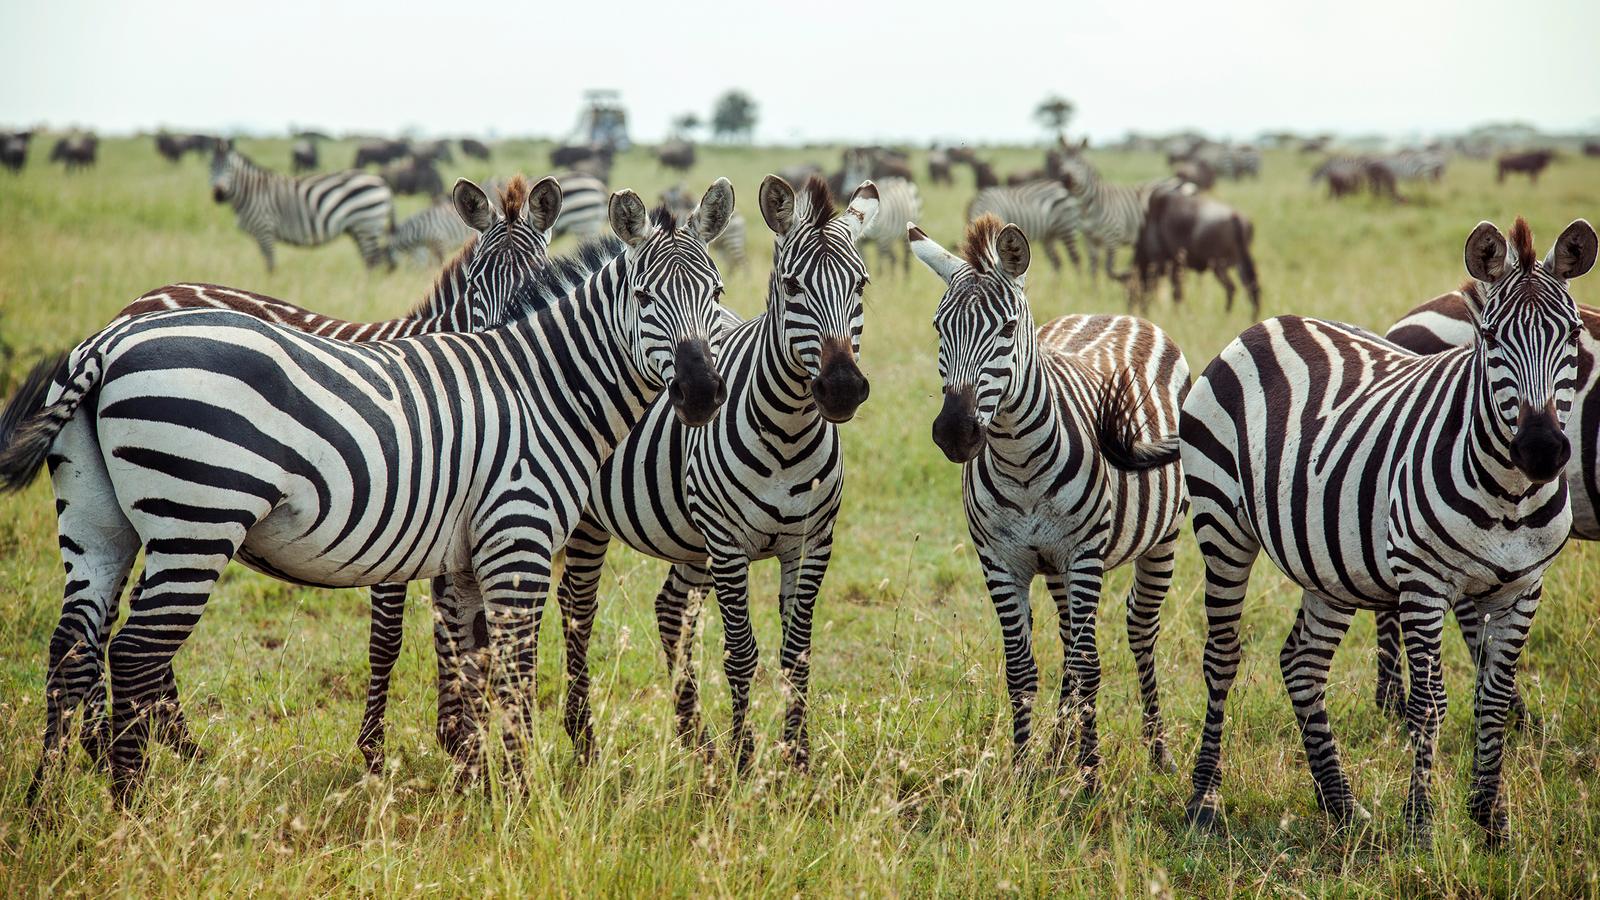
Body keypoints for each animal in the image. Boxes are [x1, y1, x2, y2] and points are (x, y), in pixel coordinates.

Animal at [7, 175, 736, 797]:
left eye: (719, 294)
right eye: (644, 300)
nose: (702, 393)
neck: (542, 385)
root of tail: (108, 340)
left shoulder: (465, 552)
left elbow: (471, 662)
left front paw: (474, 781)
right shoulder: (516, 540)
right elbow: (512, 673)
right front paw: (521, 799)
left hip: (101, 524)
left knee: (73, 647)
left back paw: (51, 804)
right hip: (197, 520)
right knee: (134, 653)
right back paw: (133, 805)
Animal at [209, 138, 396, 272]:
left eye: (229, 168)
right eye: (210, 167)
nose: (218, 194)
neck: (250, 192)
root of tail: (382, 183)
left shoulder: (264, 228)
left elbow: (270, 264)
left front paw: (272, 284)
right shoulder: (260, 233)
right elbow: (267, 262)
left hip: (367, 222)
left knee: (374, 262)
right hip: (358, 228)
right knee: (369, 261)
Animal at [908, 212, 1196, 781]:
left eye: (1006, 329)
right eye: (938, 328)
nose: (954, 432)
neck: (1019, 462)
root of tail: (1113, 313)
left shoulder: (1083, 555)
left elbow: (1088, 665)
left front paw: (1090, 776)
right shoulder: (1001, 559)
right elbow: (1022, 669)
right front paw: (1023, 770)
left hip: (1162, 537)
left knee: (1138, 629)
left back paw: (1157, 751)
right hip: (1058, 568)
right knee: (1068, 637)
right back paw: (1058, 747)